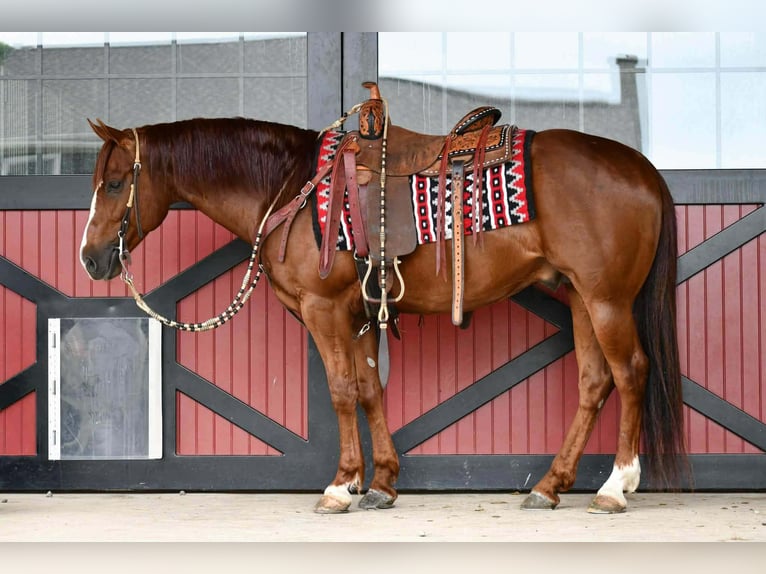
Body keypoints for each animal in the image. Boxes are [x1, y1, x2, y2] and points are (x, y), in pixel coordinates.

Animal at [79, 95, 686, 515]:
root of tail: (641, 168)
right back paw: (549, 487)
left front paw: (338, 486)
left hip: (607, 300)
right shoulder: (359, 315)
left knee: (631, 373)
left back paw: (615, 487)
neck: (293, 187)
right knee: (594, 382)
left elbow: (342, 391)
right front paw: (379, 483)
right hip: (582, 297)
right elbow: (370, 390)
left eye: (113, 183)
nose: (90, 259)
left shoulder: (323, 310)